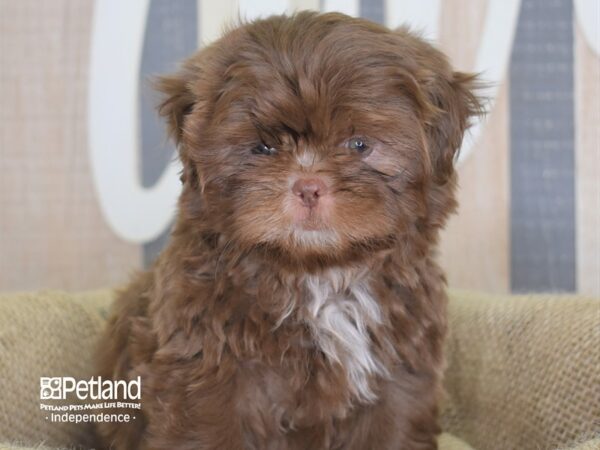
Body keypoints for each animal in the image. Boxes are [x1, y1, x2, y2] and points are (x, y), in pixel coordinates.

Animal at [96, 12, 480, 450]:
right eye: (264, 148)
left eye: (358, 144)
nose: (308, 185)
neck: (317, 272)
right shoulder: (205, 368)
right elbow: (207, 427)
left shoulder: (400, 369)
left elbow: (393, 426)